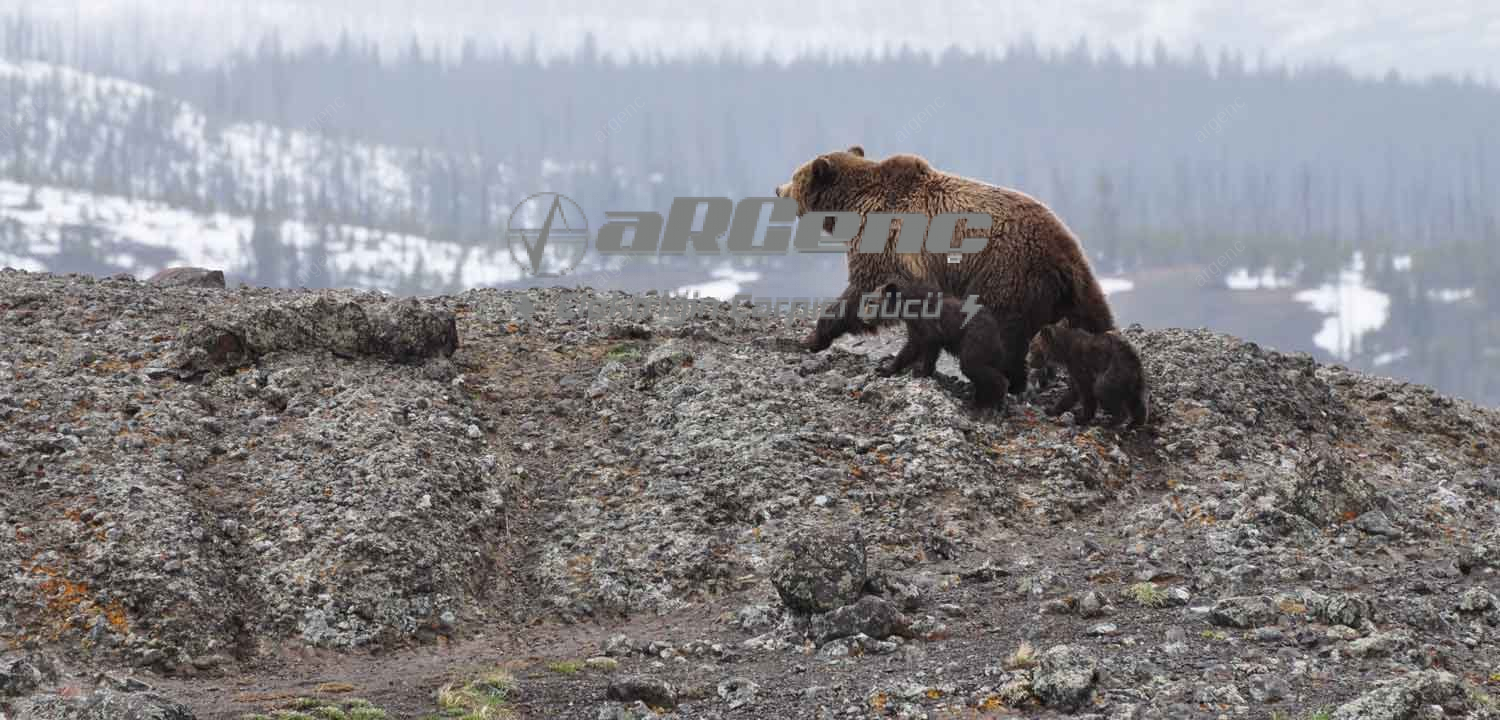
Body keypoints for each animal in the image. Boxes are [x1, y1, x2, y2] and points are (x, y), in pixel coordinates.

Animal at [786, 146, 1116, 393]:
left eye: (794, 177)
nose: (779, 189)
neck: (853, 207)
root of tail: (1064, 255)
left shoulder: (887, 246)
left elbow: (862, 292)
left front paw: (813, 338)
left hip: (1004, 273)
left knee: (1002, 331)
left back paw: (1007, 381)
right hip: (1074, 287)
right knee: (1094, 318)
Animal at [876, 282, 1026, 417]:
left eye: (873, 301)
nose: (869, 317)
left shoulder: (928, 323)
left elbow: (930, 342)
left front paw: (922, 371)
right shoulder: (914, 327)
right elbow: (911, 348)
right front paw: (885, 369)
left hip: (975, 338)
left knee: (972, 365)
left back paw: (988, 402)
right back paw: (978, 400)